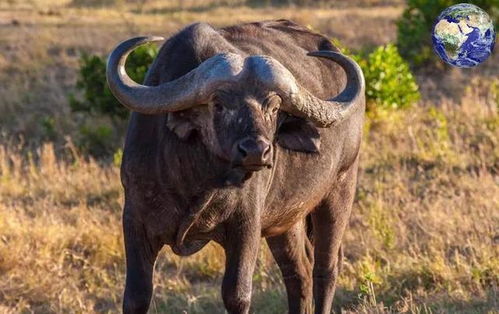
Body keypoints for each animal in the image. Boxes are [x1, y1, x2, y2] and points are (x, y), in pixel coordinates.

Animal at [106, 20, 364, 314]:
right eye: (218, 104)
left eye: (274, 108)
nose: (256, 151)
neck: (196, 180)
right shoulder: (134, 219)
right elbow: (136, 296)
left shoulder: (246, 226)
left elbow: (236, 295)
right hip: (286, 219)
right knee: (298, 271)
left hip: (339, 191)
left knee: (326, 268)